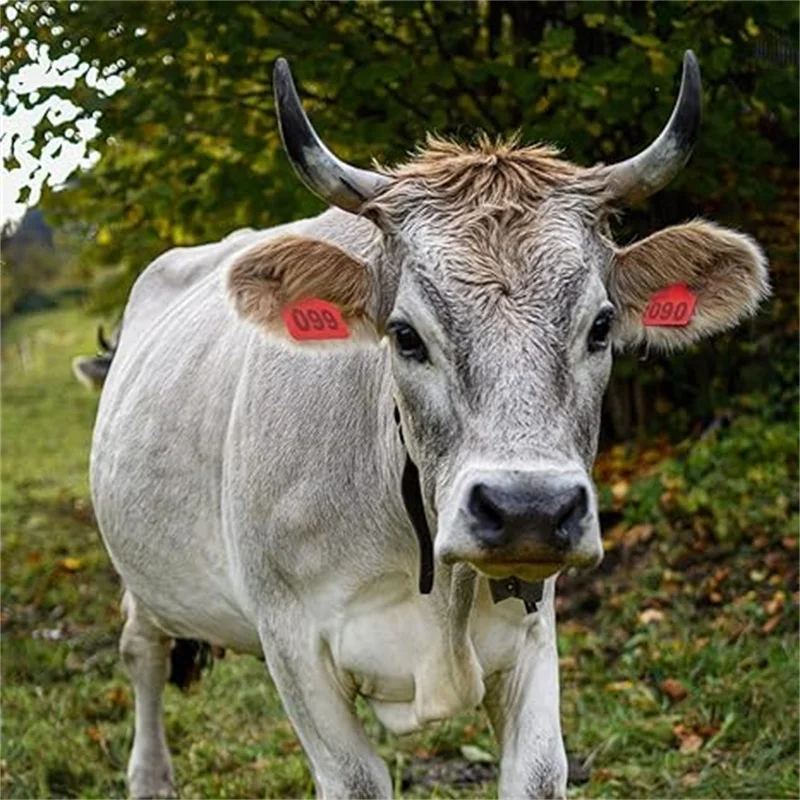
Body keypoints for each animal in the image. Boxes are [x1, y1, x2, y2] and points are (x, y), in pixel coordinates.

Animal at [90, 52, 768, 799]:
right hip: (144, 575)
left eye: (600, 326)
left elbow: (539, 773)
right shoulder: (292, 642)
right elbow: (355, 778)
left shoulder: (534, 633)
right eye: (405, 334)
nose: (528, 510)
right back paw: (150, 774)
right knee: (142, 652)